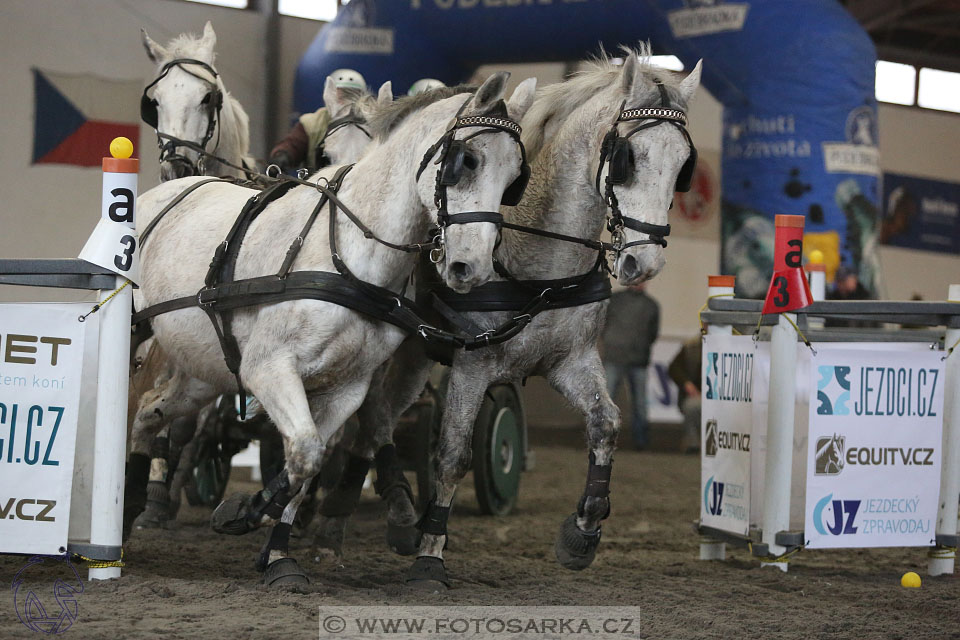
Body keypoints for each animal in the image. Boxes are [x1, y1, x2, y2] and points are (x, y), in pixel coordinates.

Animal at [131, 75, 536, 584]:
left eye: (516, 177)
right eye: (468, 161)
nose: (471, 266)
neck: (348, 255)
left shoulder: (347, 386)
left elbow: (309, 463)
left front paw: (278, 555)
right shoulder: (267, 368)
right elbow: (305, 451)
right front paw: (243, 513)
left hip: (201, 370)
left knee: (149, 411)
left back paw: (133, 493)